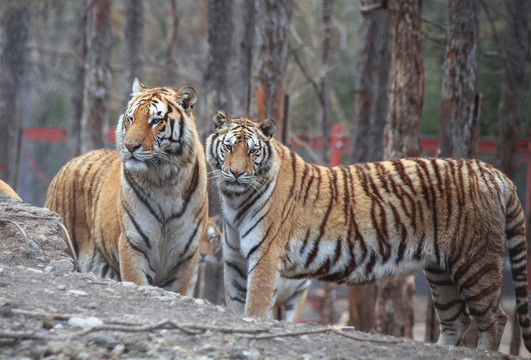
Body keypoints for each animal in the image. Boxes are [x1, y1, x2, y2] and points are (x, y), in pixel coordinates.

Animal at [45, 77, 209, 294]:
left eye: (156, 121)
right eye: (130, 118)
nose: (130, 146)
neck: (165, 182)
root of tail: (70, 162)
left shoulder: (185, 257)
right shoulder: (134, 246)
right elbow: (137, 282)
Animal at [207, 110, 531, 352]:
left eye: (252, 151)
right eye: (228, 147)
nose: (236, 173)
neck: (234, 200)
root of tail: (492, 172)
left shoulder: (264, 258)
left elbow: (255, 308)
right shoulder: (235, 261)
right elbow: (235, 305)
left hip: (475, 263)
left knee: (495, 319)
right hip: (441, 273)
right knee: (456, 321)